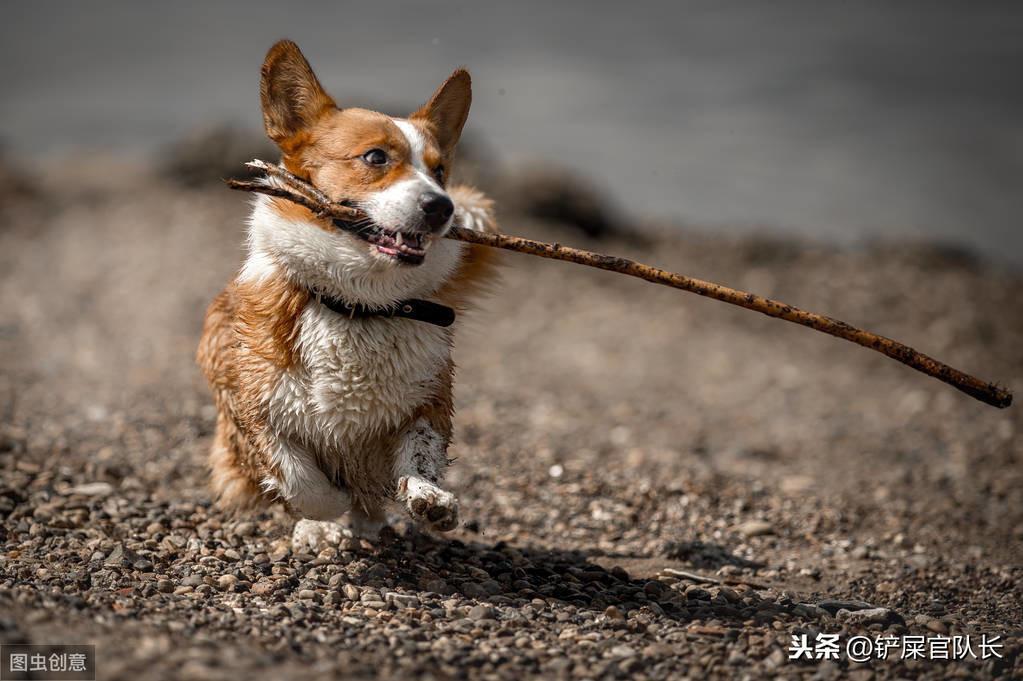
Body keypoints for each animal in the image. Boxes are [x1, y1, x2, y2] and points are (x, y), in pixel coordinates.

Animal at [196, 41, 499, 539]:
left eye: (440, 171)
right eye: (376, 157)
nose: (443, 207)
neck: (359, 304)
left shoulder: (427, 404)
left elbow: (420, 453)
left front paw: (429, 498)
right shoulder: (257, 415)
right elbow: (302, 482)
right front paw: (323, 516)